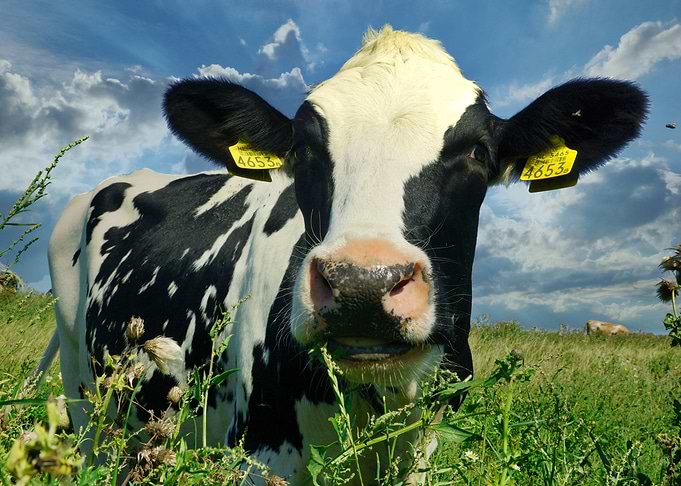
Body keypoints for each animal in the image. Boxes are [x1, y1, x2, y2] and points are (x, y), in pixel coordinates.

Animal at [43, 26, 647, 483]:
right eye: (304, 147)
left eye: (477, 151)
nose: (363, 283)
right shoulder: (263, 452)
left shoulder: (423, 449)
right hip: (85, 400)